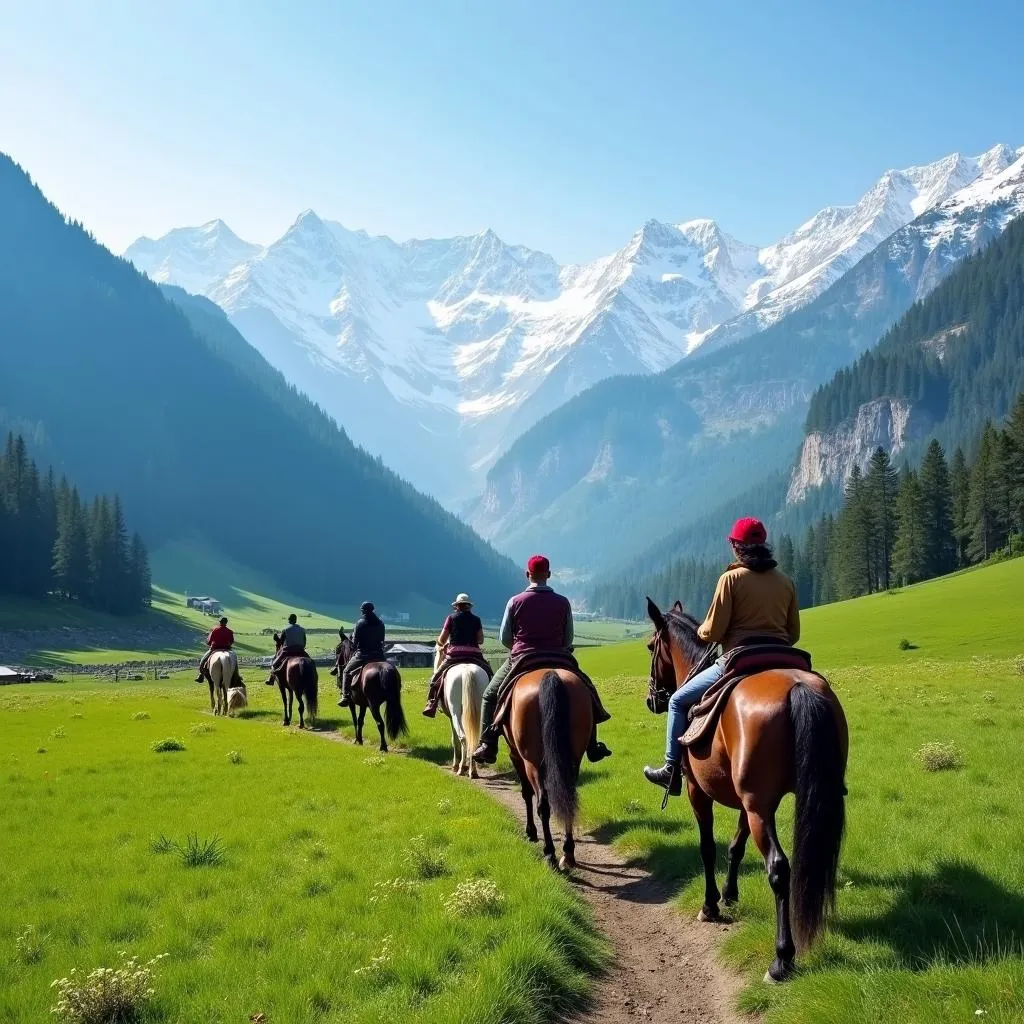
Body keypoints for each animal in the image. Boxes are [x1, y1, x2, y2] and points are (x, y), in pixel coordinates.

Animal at [432, 643, 487, 778]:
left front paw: (455, 765)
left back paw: (461, 768)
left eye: (436, 652)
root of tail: (467, 671)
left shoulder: (451, 717)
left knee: (463, 737)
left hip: (456, 713)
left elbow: (455, 739)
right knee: (474, 738)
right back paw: (473, 770)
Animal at [503, 671, 593, 872]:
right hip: (573, 759)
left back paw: (550, 853)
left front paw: (530, 832)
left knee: (543, 805)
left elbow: (526, 793)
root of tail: (550, 674)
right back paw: (568, 853)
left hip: (532, 763)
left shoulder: (516, 755)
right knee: (568, 798)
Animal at [647, 598, 847, 983]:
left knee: (779, 868)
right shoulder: (748, 802)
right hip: (792, 800)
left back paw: (781, 960)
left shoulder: (698, 792)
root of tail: (798, 688)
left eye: (651, 646)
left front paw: (710, 905)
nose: (653, 699)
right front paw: (729, 894)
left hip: (758, 809)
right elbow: (735, 847)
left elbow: (708, 847)